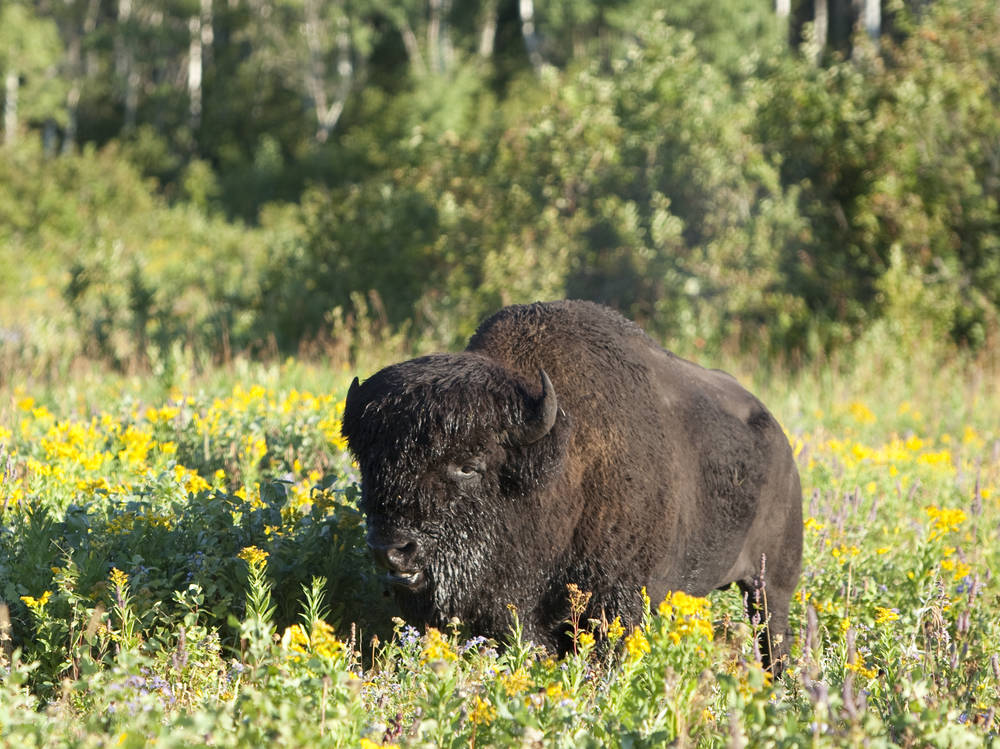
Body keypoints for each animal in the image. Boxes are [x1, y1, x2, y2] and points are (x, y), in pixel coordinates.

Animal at [344, 300, 804, 668]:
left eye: (469, 466)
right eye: (369, 464)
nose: (392, 550)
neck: (562, 457)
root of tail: (781, 441)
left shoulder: (617, 600)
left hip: (771, 586)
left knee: (773, 635)